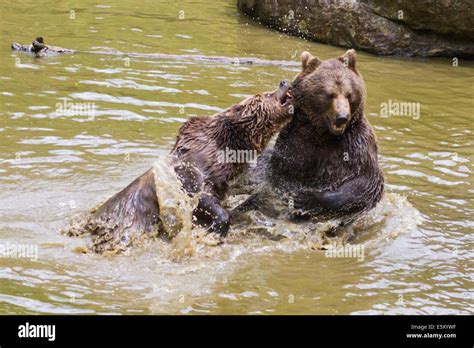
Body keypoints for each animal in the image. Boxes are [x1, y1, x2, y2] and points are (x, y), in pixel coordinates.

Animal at [233, 49, 386, 226]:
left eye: (349, 94)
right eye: (330, 94)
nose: (342, 117)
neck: (322, 134)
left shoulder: (355, 145)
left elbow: (364, 183)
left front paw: (304, 199)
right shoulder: (295, 143)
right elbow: (281, 175)